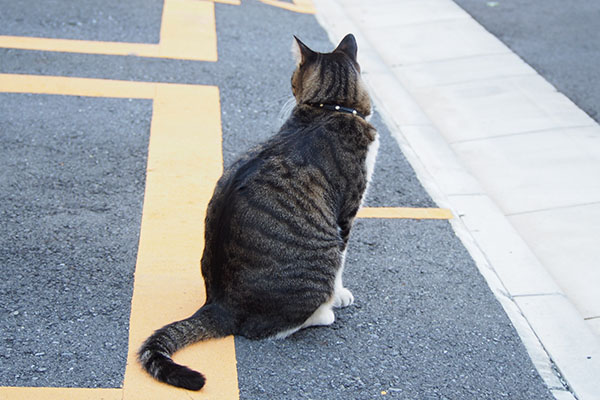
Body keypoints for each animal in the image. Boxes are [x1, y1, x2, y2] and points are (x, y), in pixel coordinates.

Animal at [138, 33, 378, 390]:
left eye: (292, 80)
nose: (289, 91)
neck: (332, 108)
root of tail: (219, 306)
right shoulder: (346, 213)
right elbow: (342, 267)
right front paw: (340, 295)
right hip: (321, 255)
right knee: (267, 329)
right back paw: (323, 313)